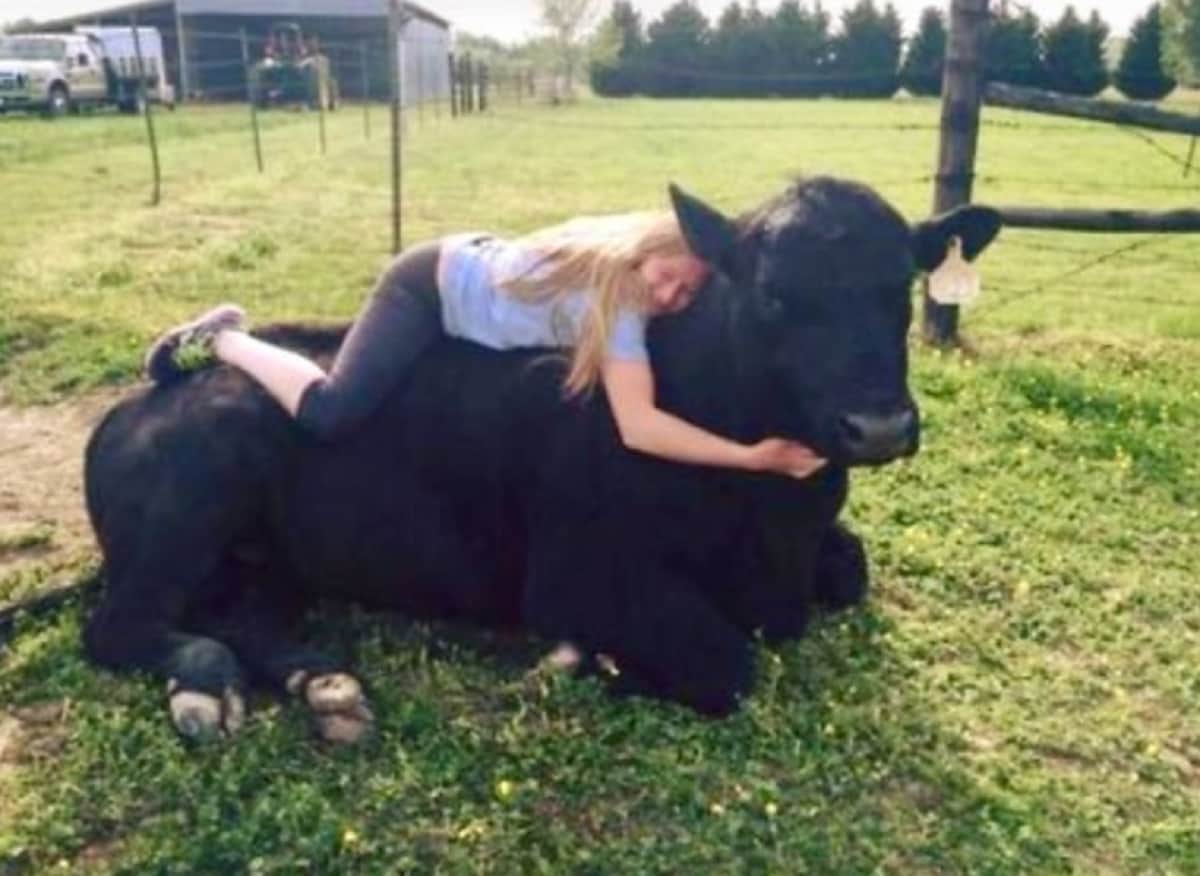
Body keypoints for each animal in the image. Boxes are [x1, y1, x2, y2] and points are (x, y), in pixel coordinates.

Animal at [81, 177, 1001, 742]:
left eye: (898, 288)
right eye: (776, 295)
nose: (877, 425)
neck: (775, 526)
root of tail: (135, 404)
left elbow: (852, 572)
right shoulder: (575, 574)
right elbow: (724, 663)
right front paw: (577, 662)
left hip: (279, 561)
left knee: (241, 615)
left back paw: (322, 687)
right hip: (197, 488)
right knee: (117, 626)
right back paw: (204, 682)